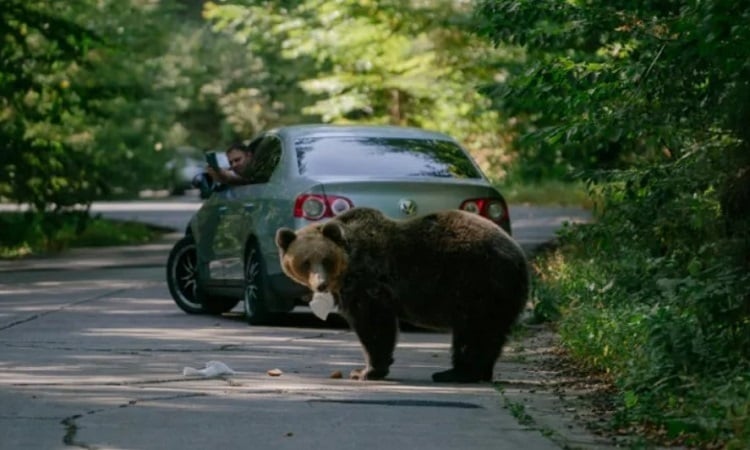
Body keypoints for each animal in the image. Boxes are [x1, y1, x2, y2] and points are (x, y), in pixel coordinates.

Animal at [274, 207, 528, 384]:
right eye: (305, 262)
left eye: (325, 259)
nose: (321, 284)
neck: (347, 268)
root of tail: (519, 256)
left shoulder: (370, 284)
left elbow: (374, 325)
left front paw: (365, 370)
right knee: (486, 333)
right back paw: (474, 371)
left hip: (479, 283)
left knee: (474, 332)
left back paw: (457, 373)